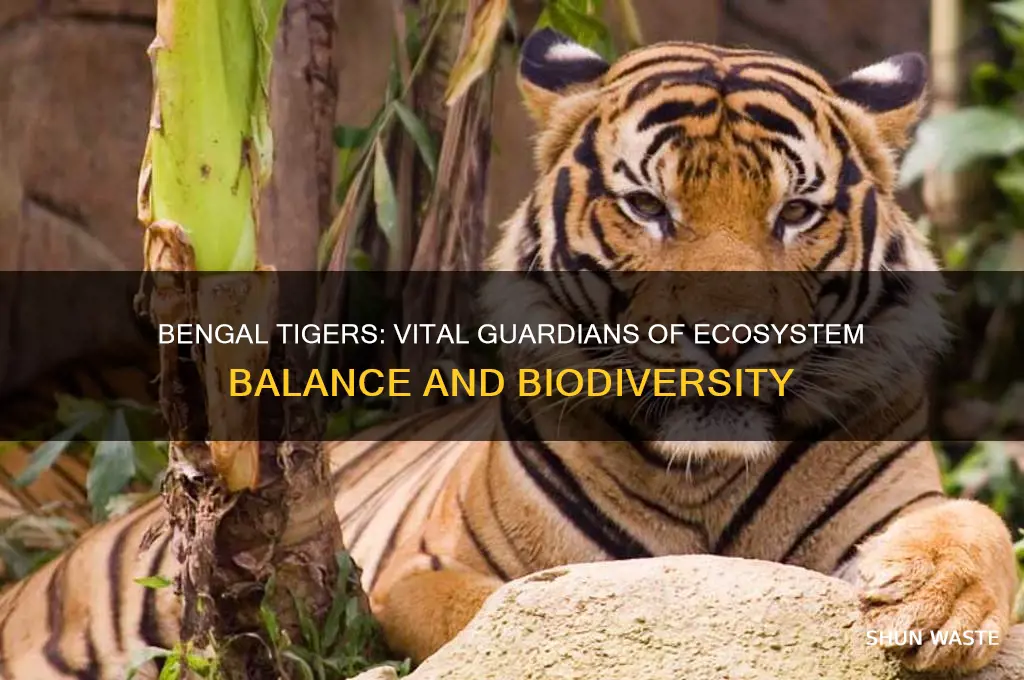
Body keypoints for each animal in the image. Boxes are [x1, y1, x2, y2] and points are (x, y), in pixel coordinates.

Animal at [0, 28, 1019, 680]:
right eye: (647, 206)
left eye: (796, 212)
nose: (727, 341)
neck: (707, 477)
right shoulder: (421, 570)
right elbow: (507, 610)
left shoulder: (903, 500)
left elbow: (980, 526)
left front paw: (935, 605)